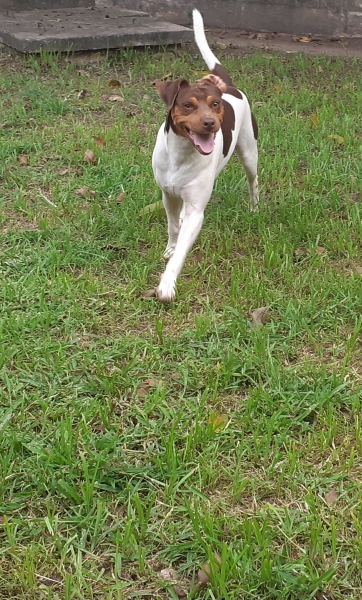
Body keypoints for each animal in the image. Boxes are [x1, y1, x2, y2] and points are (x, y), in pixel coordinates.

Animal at [151, 7, 258, 302]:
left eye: (215, 104)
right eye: (188, 105)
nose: (210, 122)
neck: (182, 154)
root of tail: (229, 86)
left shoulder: (196, 209)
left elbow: (181, 249)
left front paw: (168, 282)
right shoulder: (168, 195)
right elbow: (173, 227)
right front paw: (170, 248)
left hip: (250, 152)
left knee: (253, 181)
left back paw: (256, 206)